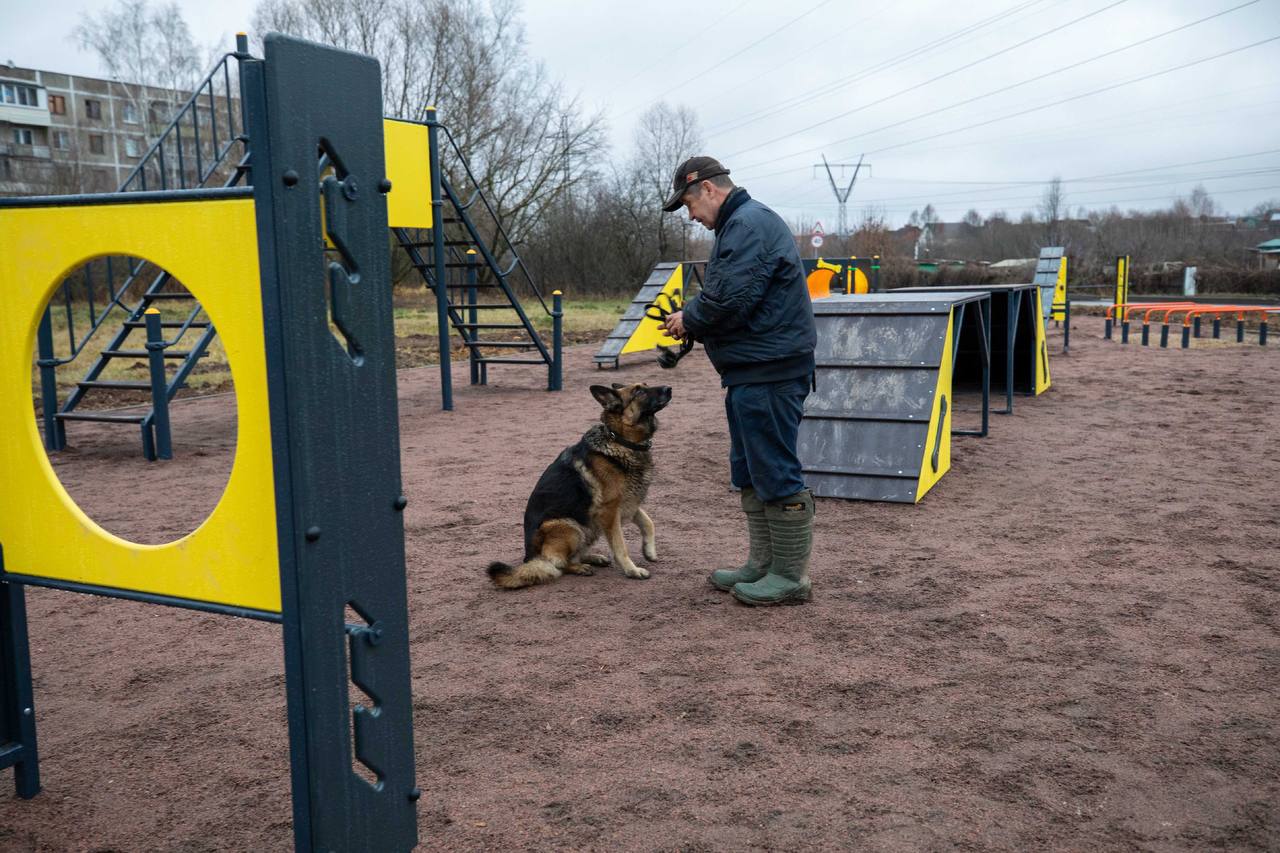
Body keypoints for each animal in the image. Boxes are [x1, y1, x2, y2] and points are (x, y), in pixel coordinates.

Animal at [486, 384, 670, 589]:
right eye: (638, 392)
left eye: (645, 386)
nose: (669, 388)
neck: (619, 440)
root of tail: (530, 559)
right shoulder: (610, 510)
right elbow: (620, 544)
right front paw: (632, 570)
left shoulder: (628, 503)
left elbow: (648, 522)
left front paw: (649, 550)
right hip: (569, 525)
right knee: (558, 564)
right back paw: (579, 567)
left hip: (589, 527)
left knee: (572, 556)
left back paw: (593, 558)